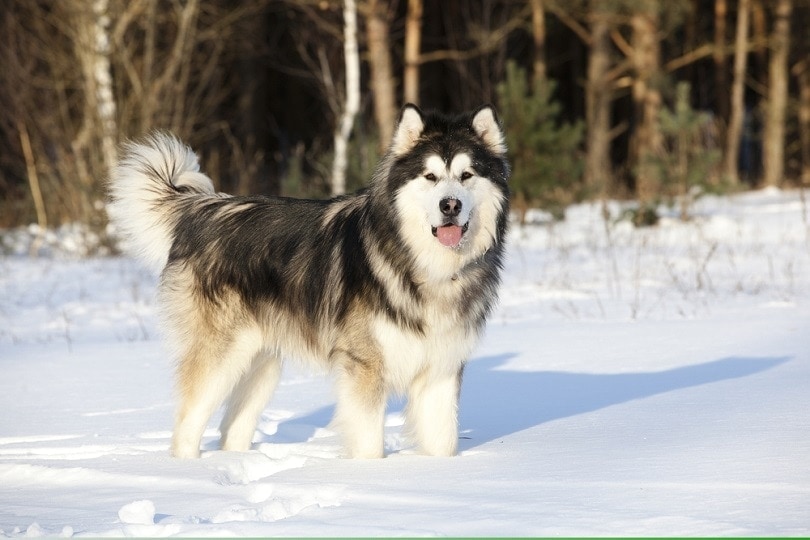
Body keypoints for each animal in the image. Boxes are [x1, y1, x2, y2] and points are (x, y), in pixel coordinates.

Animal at [106, 105, 508, 460]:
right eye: (430, 177)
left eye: (467, 175)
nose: (450, 205)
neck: (425, 265)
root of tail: (204, 209)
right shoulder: (364, 367)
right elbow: (369, 445)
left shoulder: (441, 370)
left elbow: (443, 442)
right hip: (220, 357)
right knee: (187, 424)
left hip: (261, 363)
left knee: (232, 428)